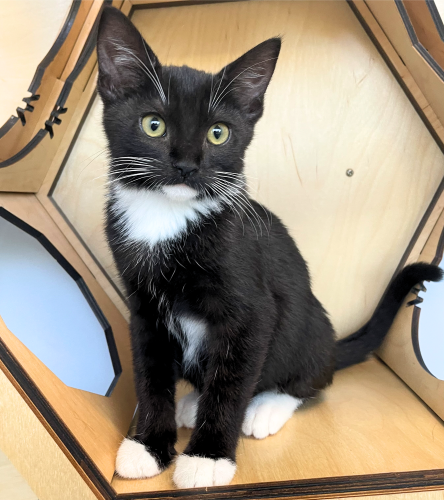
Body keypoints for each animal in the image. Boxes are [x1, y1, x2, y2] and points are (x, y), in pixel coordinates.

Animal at [96, 6, 440, 488]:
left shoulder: (253, 311)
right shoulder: (144, 308)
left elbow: (232, 383)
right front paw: (148, 446)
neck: (166, 218)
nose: (186, 165)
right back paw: (192, 403)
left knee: (308, 378)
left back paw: (265, 408)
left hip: (308, 327)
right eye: (153, 124)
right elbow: (150, 373)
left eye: (218, 133)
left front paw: (207, 459)